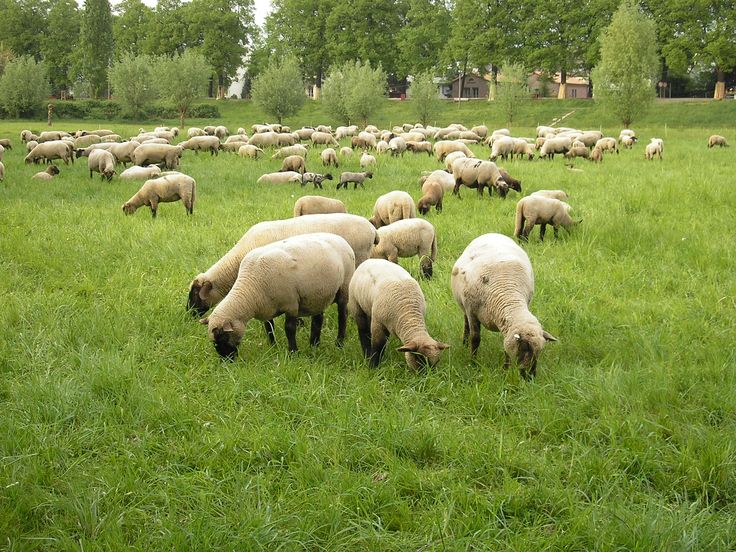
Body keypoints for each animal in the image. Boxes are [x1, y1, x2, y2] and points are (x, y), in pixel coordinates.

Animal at [198, 232, 354, 358]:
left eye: (223, 337)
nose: (227, 360)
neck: (250, 288)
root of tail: (340, 239)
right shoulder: (266, 308)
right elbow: (269, 328)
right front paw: (273, 348)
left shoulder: (291, 305)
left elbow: (289, 329)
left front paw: (293, 353)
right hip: (317, 294)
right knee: (318, 319)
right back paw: (314, 344)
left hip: (344, 288)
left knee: (342, 316)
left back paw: (339, 342)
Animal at [448, 233, 556, 380]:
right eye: (525, 347)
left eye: (539, 351)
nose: (530, 377)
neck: (509, 297)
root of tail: (492, 233)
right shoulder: (472, 312)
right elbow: (475, 339)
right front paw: (473, 363)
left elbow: (506, 346)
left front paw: (505, 369)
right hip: (464, 306)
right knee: (466, 323)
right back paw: (464, 342)